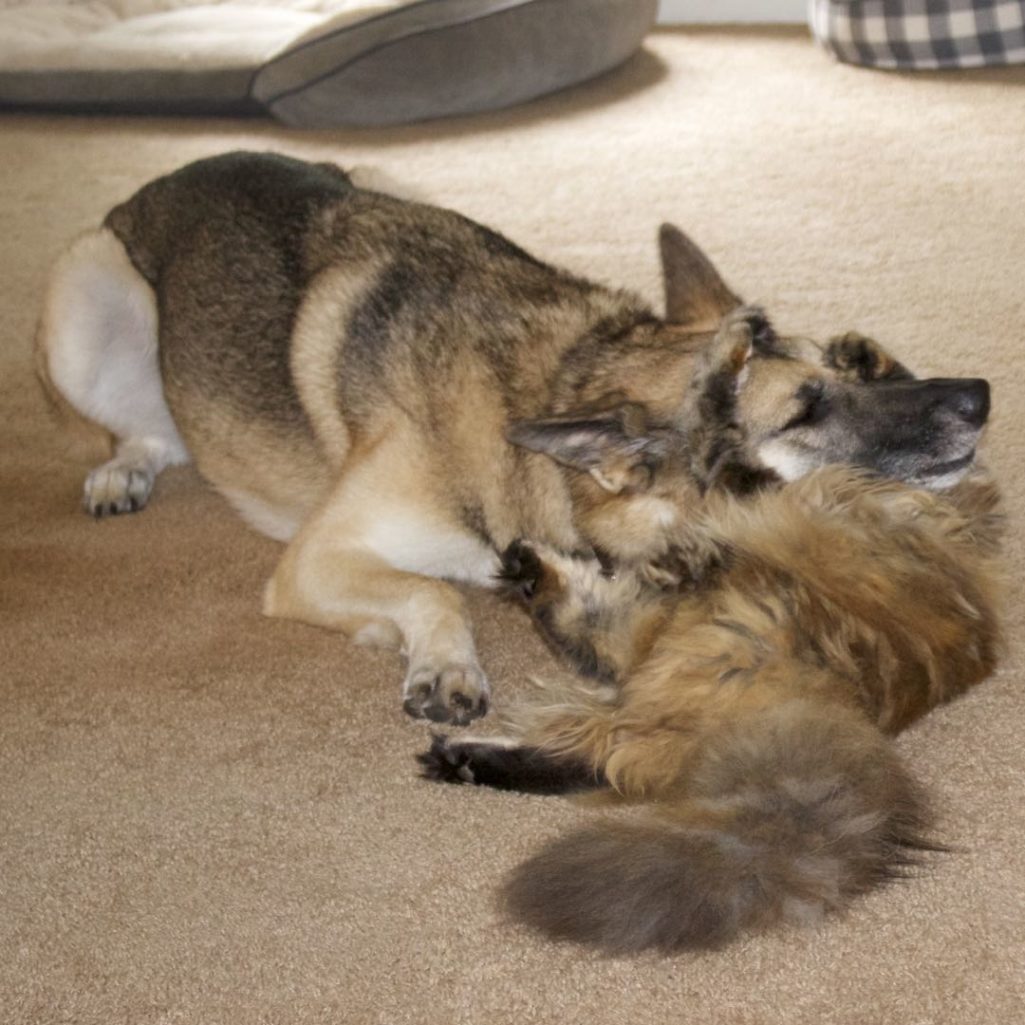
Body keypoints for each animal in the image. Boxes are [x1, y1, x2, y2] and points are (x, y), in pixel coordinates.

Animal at [37, 149, 992, 729]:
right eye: (803, 410)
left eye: (846, 367)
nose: (980, 395)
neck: (558, 380)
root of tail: (157, 183)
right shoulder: (313, 560)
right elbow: (434, 590)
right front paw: (438, 659)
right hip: (87, 293)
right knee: (146, 428)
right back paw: (122, 468)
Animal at [418, 309, 1000, 951]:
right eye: (813, 404)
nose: (979, 395)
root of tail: (826, 702)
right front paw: (855, 350)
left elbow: (716, 444)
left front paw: (733, 361)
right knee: (606, 744)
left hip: (690, 629)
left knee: (609, 728)